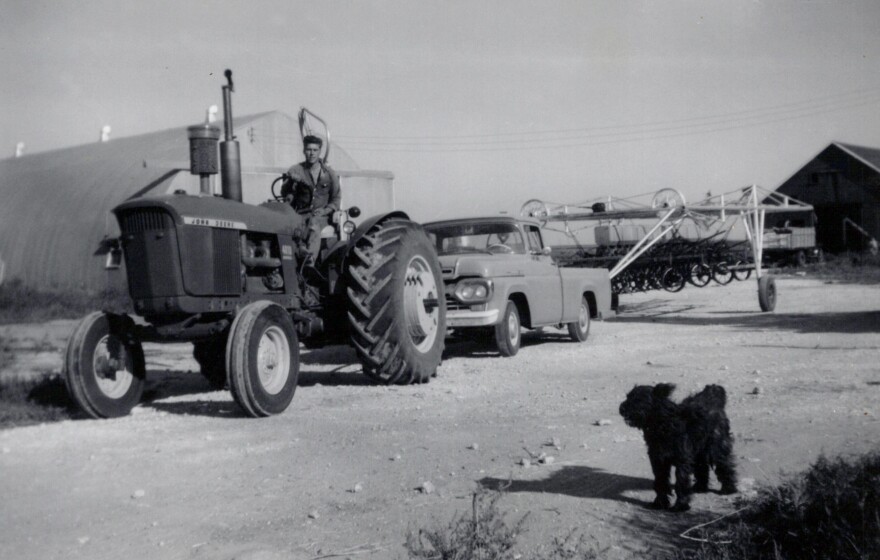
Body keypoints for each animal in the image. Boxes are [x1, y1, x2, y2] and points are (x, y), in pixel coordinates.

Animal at [620, 382, 736, 510]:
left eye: (639, 399)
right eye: (628, 397)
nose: (621, 408)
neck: (663, 423)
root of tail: (713, 398)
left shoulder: (682, 460)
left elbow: (681, 481)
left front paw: (680, 505)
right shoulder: (658, 461)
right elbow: (660, 481)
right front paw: (660, 503)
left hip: (716, 447)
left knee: (725, 465)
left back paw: (729, 488)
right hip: (698, 451)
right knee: (702, 467)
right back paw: (700, 487)